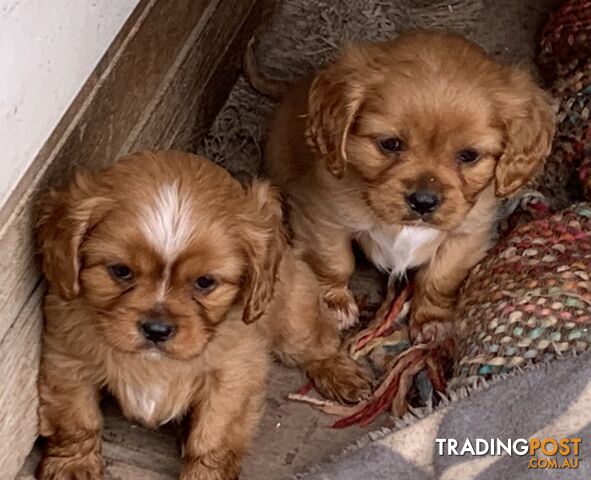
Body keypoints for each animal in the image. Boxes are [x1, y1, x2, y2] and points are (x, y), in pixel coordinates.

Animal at [35, 151, 370, 480]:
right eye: (120, 271)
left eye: (205, 282)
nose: (157, 330)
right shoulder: (67, 360)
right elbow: (77, 420)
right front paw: (72, 465)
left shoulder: (232, 376)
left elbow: (212, 437)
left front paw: (205, 472)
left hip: (294, 316)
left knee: (319, 343)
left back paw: (341, 375)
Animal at [246, 30, 556, 342]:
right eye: (390, 144)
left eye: (469, 155)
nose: (423, 201)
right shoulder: (322, 216)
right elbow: (333, 261)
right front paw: (334, 304)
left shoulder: (468, 233)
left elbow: (440, 277)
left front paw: (431, 319)